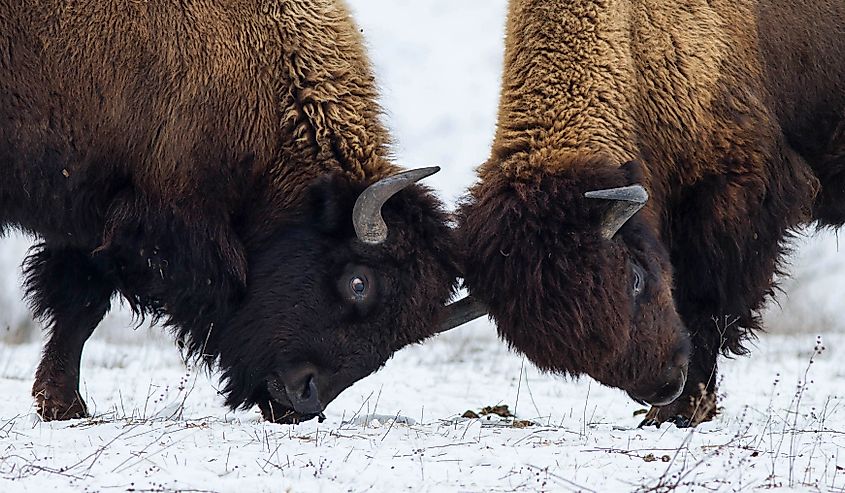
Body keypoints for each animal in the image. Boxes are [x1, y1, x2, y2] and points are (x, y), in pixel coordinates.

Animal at [1, 0, 474, 422]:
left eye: (405, 333)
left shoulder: (91, 219)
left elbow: (80, 303)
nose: (303, 397)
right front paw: (64, 406)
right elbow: (82, 303)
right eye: (359, 282)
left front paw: (60, 405)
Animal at [462, 0, 844, 424]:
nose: (663, 386)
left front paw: (680, 412)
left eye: (635, 279)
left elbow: (705, 303)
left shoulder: (732, 199)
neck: (630, 41)